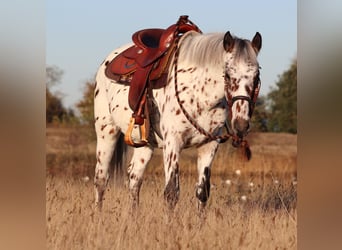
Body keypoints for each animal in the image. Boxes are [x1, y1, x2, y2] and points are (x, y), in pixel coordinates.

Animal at [93, 26, 262, 209]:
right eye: (229, 74)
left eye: (256, 76)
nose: (241, 125)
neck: (199, 94)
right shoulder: (173, 143)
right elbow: (171, 193)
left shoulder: (209, 146)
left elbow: (202, 192)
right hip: (106, 132)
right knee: (101, 179)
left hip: (145, 144)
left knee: (134, 180)